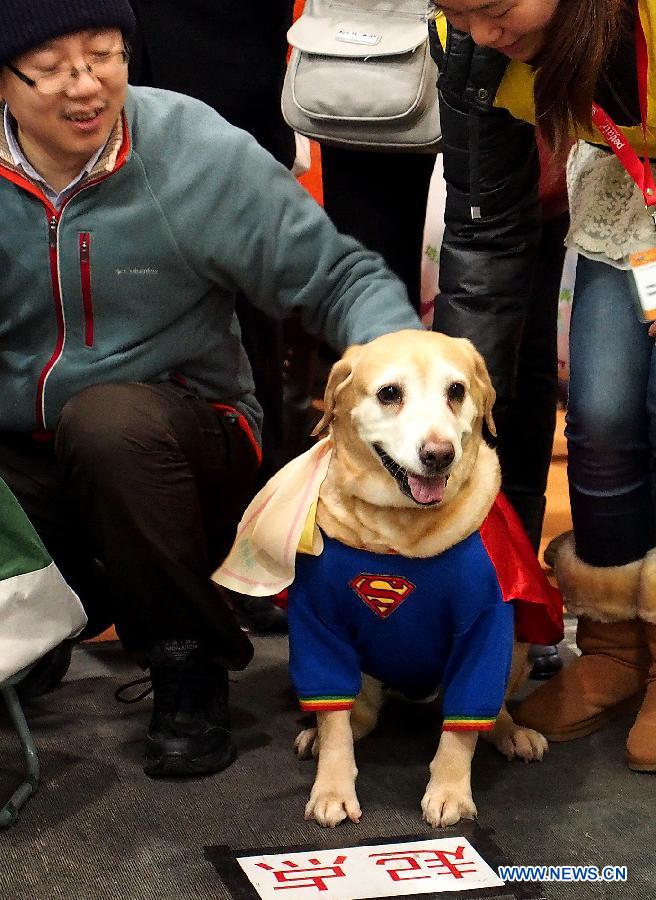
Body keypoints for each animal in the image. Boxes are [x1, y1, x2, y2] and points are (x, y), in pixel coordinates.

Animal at [292, 330, 548, 828]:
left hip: (517, 649)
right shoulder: (319, 625)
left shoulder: (485, 627)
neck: (400, 536)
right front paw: (331, 787)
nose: (438, 455)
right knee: (358, 716)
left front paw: (449, 791)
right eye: (390, 393)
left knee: (493, 711)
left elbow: (462, 730)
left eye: (457, 390)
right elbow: (334, 724)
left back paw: (512, 732)